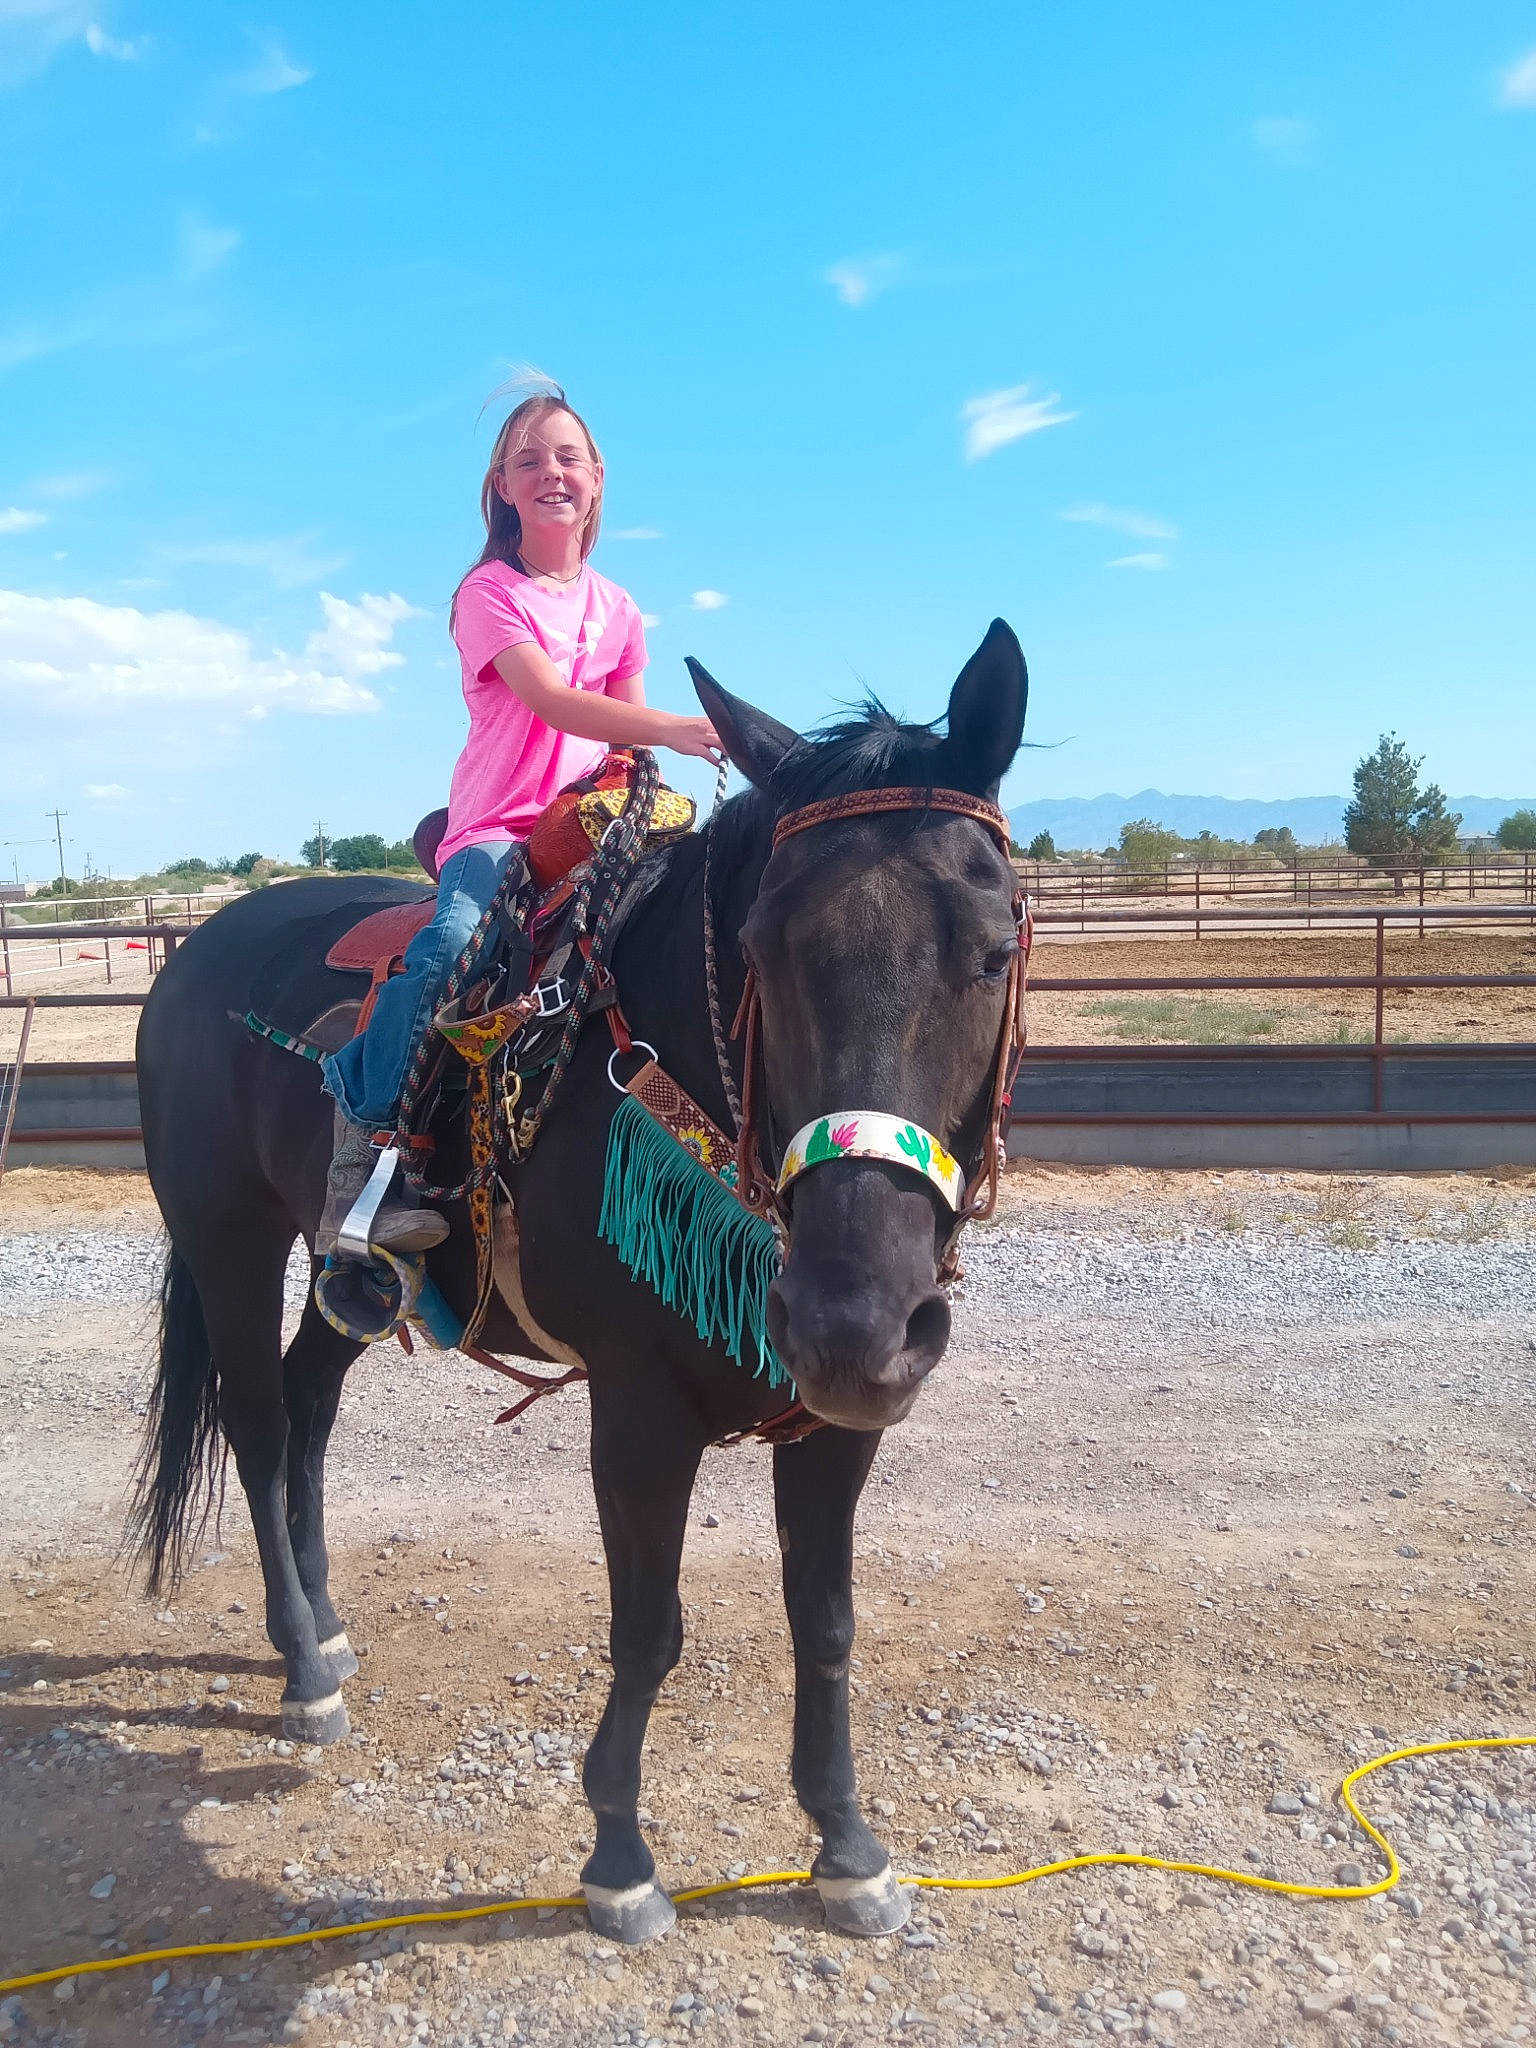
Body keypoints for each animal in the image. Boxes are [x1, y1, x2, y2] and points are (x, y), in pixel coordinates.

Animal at [131, 619, 1028, 1943]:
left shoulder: (838, 1419)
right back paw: (300, 1664)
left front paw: (847, 1846)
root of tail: (197, 950)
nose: (850, 1321)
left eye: (994, 949)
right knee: (255, 1419)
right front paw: (620, 1858)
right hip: (227, 1242)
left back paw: (330, 1632)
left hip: (349, 1281)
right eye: (759, 948)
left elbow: (824, 1620)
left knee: (307, 1401)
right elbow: (648, 1628)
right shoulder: (639, 1407)